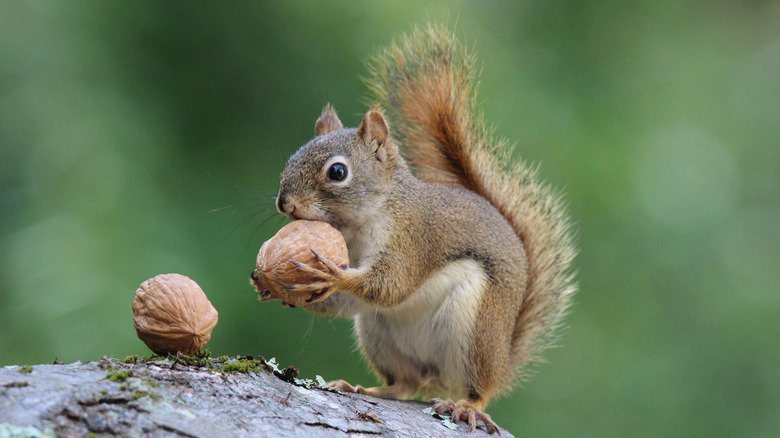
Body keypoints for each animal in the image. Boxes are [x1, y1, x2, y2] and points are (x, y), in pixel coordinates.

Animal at [268, 23, 580, 434]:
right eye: (291, 158)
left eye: (337, 172)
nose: (284, 204)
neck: (359, 223)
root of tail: (502, 358)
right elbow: (346, 304)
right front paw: (275, 285)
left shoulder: (412, 239)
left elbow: (391, 284)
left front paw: (334, 275)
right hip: (377, 334)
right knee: (405, 385)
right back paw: (363, 388)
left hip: (475, 330)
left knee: (477, 389)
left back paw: (466, 407)